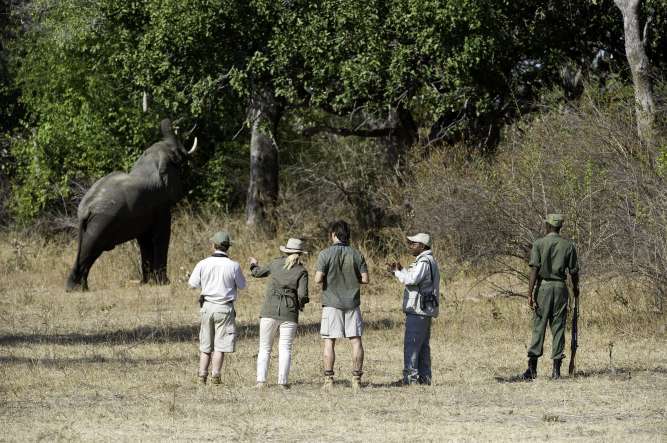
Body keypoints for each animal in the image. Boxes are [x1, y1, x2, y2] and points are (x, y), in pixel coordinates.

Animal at [66, 118, 197, 291]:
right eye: (176, 155)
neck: (151, 162)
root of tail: (85, 209)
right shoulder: (160, 204)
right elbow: (161, 235)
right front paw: (164, 283)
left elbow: (144, 241)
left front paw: (148, 283)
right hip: (100, 223)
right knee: (90, 250)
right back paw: (77, 289)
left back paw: (78, 288)